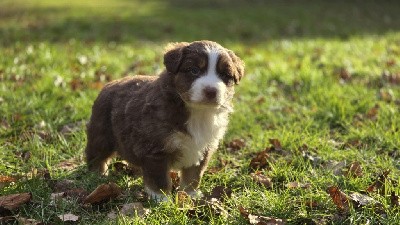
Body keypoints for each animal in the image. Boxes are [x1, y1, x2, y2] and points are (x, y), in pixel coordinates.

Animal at [84, 40, 244, 200]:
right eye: (194, 70)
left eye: (224, 75)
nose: (211, 91)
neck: (198, 112)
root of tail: (109, 84)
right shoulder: (155, 150)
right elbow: (159, 178)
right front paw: (161, 198)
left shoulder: (204, 148)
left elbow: (193, 175)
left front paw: (190, 194)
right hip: (101, 133)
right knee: (96, 154)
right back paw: (98, 174)